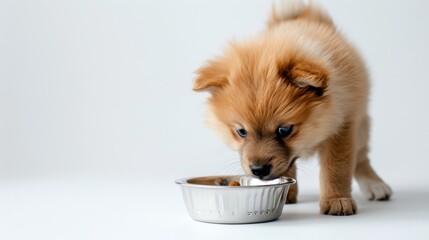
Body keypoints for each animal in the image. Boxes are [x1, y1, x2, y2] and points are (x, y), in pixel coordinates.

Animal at [194, 0, 392, 215]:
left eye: (284, 130)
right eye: (241, 132)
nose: (258, 170)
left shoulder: (342, 126)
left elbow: (336, 167)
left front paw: (337, 200)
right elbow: (287, 168)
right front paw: (286, 193)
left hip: (361, 124)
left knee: (361, 157)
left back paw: (374, 184)